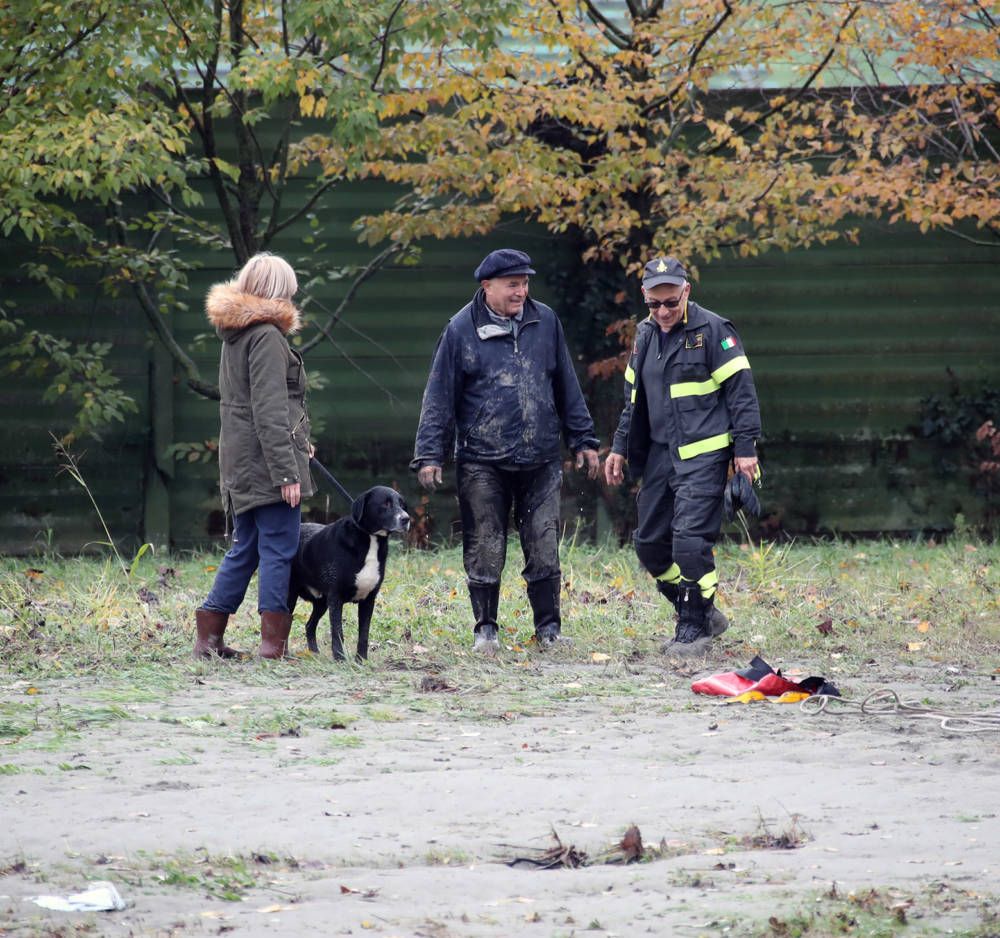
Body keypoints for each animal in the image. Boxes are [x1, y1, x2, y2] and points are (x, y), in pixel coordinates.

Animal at [290, 486, 410, 660]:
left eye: (402, 504)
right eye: (386, 504)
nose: (406, 519)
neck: (370, 539)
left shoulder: (368, 599)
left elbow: (364, 633)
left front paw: (361, 660)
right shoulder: (336, 598)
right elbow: (337, 632)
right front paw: (340, 658)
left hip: (321, 602)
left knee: (309, 625)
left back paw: (314, 653)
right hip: (290, 594)